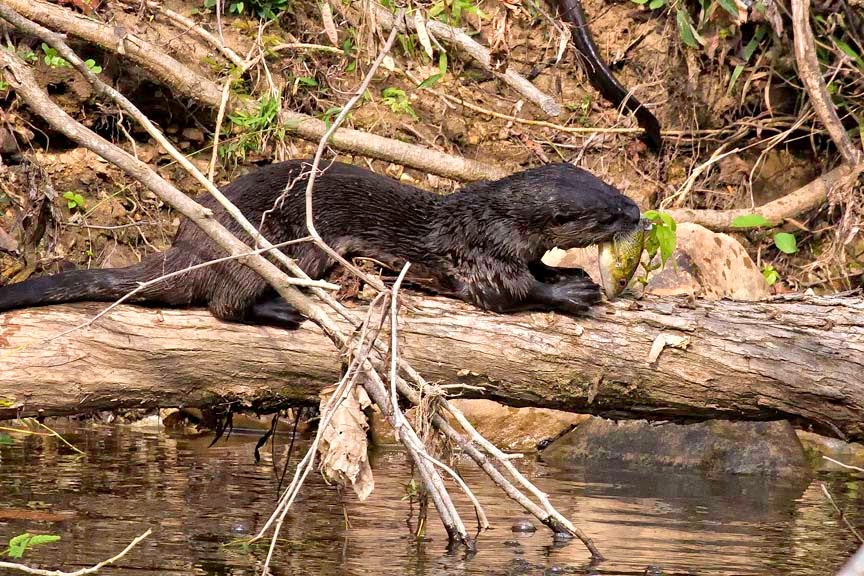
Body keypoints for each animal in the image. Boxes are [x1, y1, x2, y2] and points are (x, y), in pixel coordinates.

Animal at [0, 161, 640, 328]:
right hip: (273, 248)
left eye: (615, 189)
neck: (493, 218)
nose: (636, 210)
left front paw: (568, 275)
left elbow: (537, 270)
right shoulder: (478, 252)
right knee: (223, 304)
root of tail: (187, 248)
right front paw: (570, 292)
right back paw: (285, 309)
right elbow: (508, 292)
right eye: (606, 213)